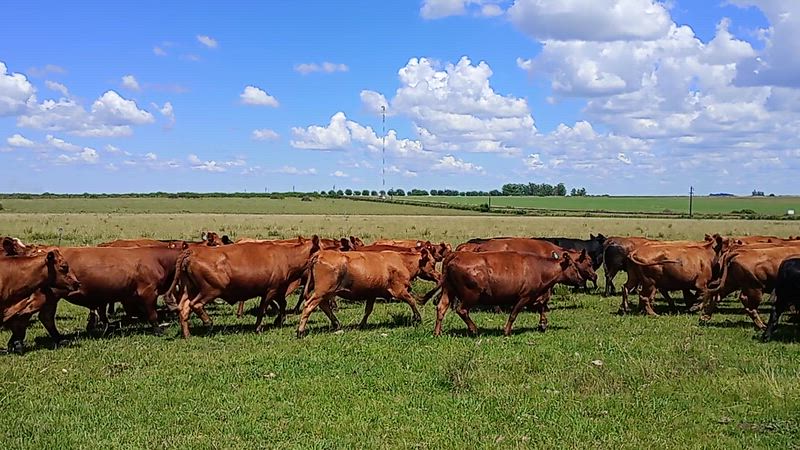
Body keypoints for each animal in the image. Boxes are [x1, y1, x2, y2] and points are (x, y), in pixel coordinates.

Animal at [171, 237, 321, 338]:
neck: (287, 257)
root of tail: (192, 252)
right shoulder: (271, 290)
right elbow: (262, 309)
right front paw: (259, 327)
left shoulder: (279, 289)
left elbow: (282, 304)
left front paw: (279, 320)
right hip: (210, 290)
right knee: (195, 305)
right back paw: (208, 322)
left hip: (189, 290)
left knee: (184, 309)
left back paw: (187, 335)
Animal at [296, 248, 438, 337]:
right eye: (433, 263)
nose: (439, 275)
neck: (402, 261)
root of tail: (319, 254)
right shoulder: (399, 291)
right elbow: (412, 301)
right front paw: (418, 318)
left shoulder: (372, 294)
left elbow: (367, 311)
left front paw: (362, 325)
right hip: (321, 291)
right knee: (309, 306)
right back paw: (300, 331)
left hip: (326, 293)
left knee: (324, 306)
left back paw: (337, 324)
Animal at [433, 251, 583, 337]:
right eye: (574, 266)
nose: (581, 279)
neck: (541, 270)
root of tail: (456, 254)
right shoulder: (525, 296)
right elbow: (513, 315)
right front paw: (507, 331)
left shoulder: (535, 295)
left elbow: (541, 307)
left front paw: (543, 324)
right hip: (471, 294)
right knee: (462, 310)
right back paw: (474, 330)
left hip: (448, 290)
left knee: (441, 308)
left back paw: (437, 333)